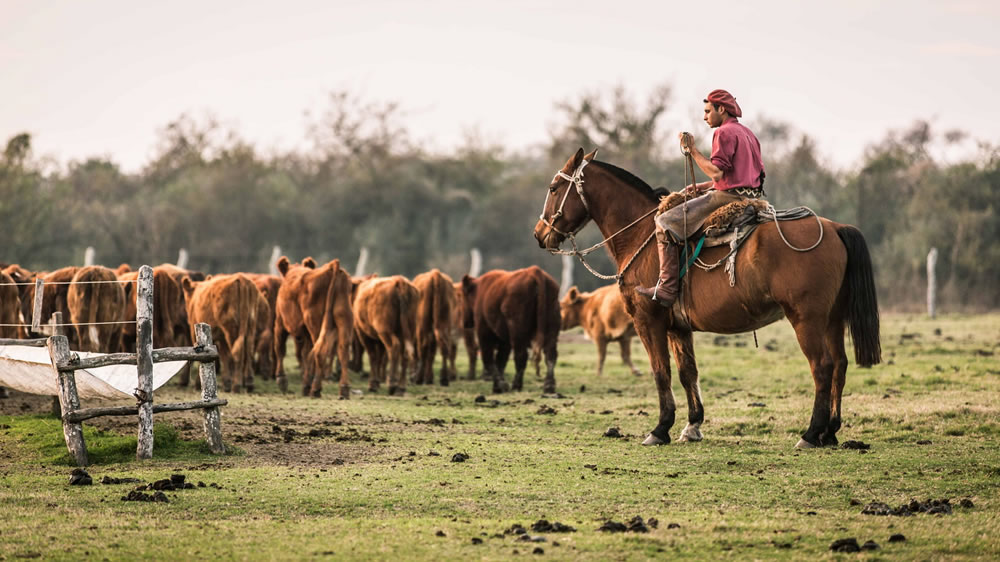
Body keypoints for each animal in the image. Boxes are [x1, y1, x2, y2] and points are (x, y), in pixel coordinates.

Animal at [274, 256, 356, 396]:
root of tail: (331, 267)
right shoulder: (305, 333)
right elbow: (306, 354)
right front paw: (305, 384)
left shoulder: (280, 323)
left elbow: (280, 349)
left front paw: (282, 379)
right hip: (344, 319)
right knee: (343, 351)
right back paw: (344, 389)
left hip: (315, 324)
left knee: (320, 352)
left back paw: (316, 388)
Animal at [462, 266, 564, 394]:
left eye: (463, 296)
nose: (465, 322)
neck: (480, 289)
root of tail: (534, 271)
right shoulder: (504, 341)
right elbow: (501, 361)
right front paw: (498, 386)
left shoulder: (484, 333)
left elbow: (490, 359)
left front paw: (500, 385)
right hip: (551, 331)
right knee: (550, 356)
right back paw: (549, 386)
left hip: (518, 333)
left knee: (521, 356)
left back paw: (516, 385)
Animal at [536, 148, 880, 446]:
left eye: (553, 188)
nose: (540, 234)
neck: (641, 236)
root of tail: (835, 228)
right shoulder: (678, 328)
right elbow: (688, 372)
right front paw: (692, 425)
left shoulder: (649, 322)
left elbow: (660, 372)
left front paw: (660, 428)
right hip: (832, 319)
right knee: (839, 365)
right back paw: (830, 431)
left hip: (806, 319)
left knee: (822, 366)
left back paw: (810, 433)